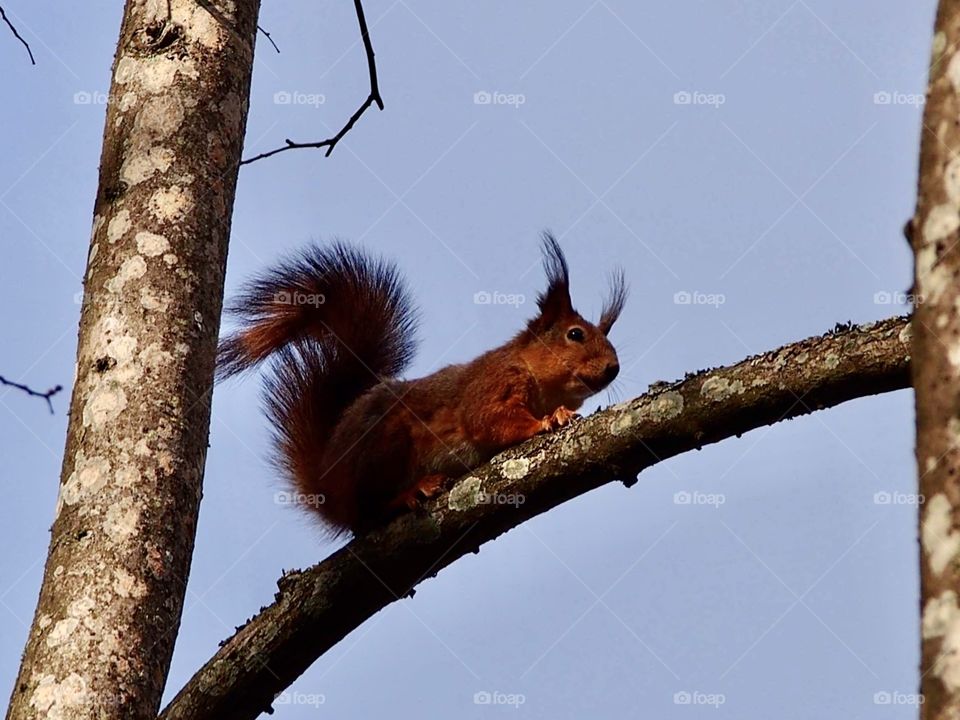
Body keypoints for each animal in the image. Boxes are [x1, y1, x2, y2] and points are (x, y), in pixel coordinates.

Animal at [217, 233, 627, 536]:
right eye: (575, 334)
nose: (613, 368)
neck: (533, 373)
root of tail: (329, 489)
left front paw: (560, 412)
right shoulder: (491, 384)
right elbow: (489, 421)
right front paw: (548, 420)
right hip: (385, 446)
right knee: (369, 514)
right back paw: (411, 492)